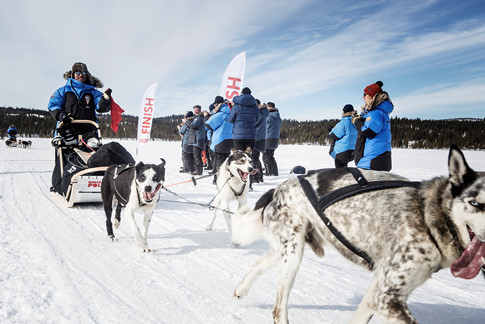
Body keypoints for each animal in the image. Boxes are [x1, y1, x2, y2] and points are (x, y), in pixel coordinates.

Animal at [232, 146, 484, 322]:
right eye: (475, 202)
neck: (428, 213)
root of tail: (277, 189)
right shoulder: (386, 298)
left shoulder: (378, 292)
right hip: (292, 255)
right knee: (278, 309)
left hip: (290, 249)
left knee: (258, 264)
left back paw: (240, 290)